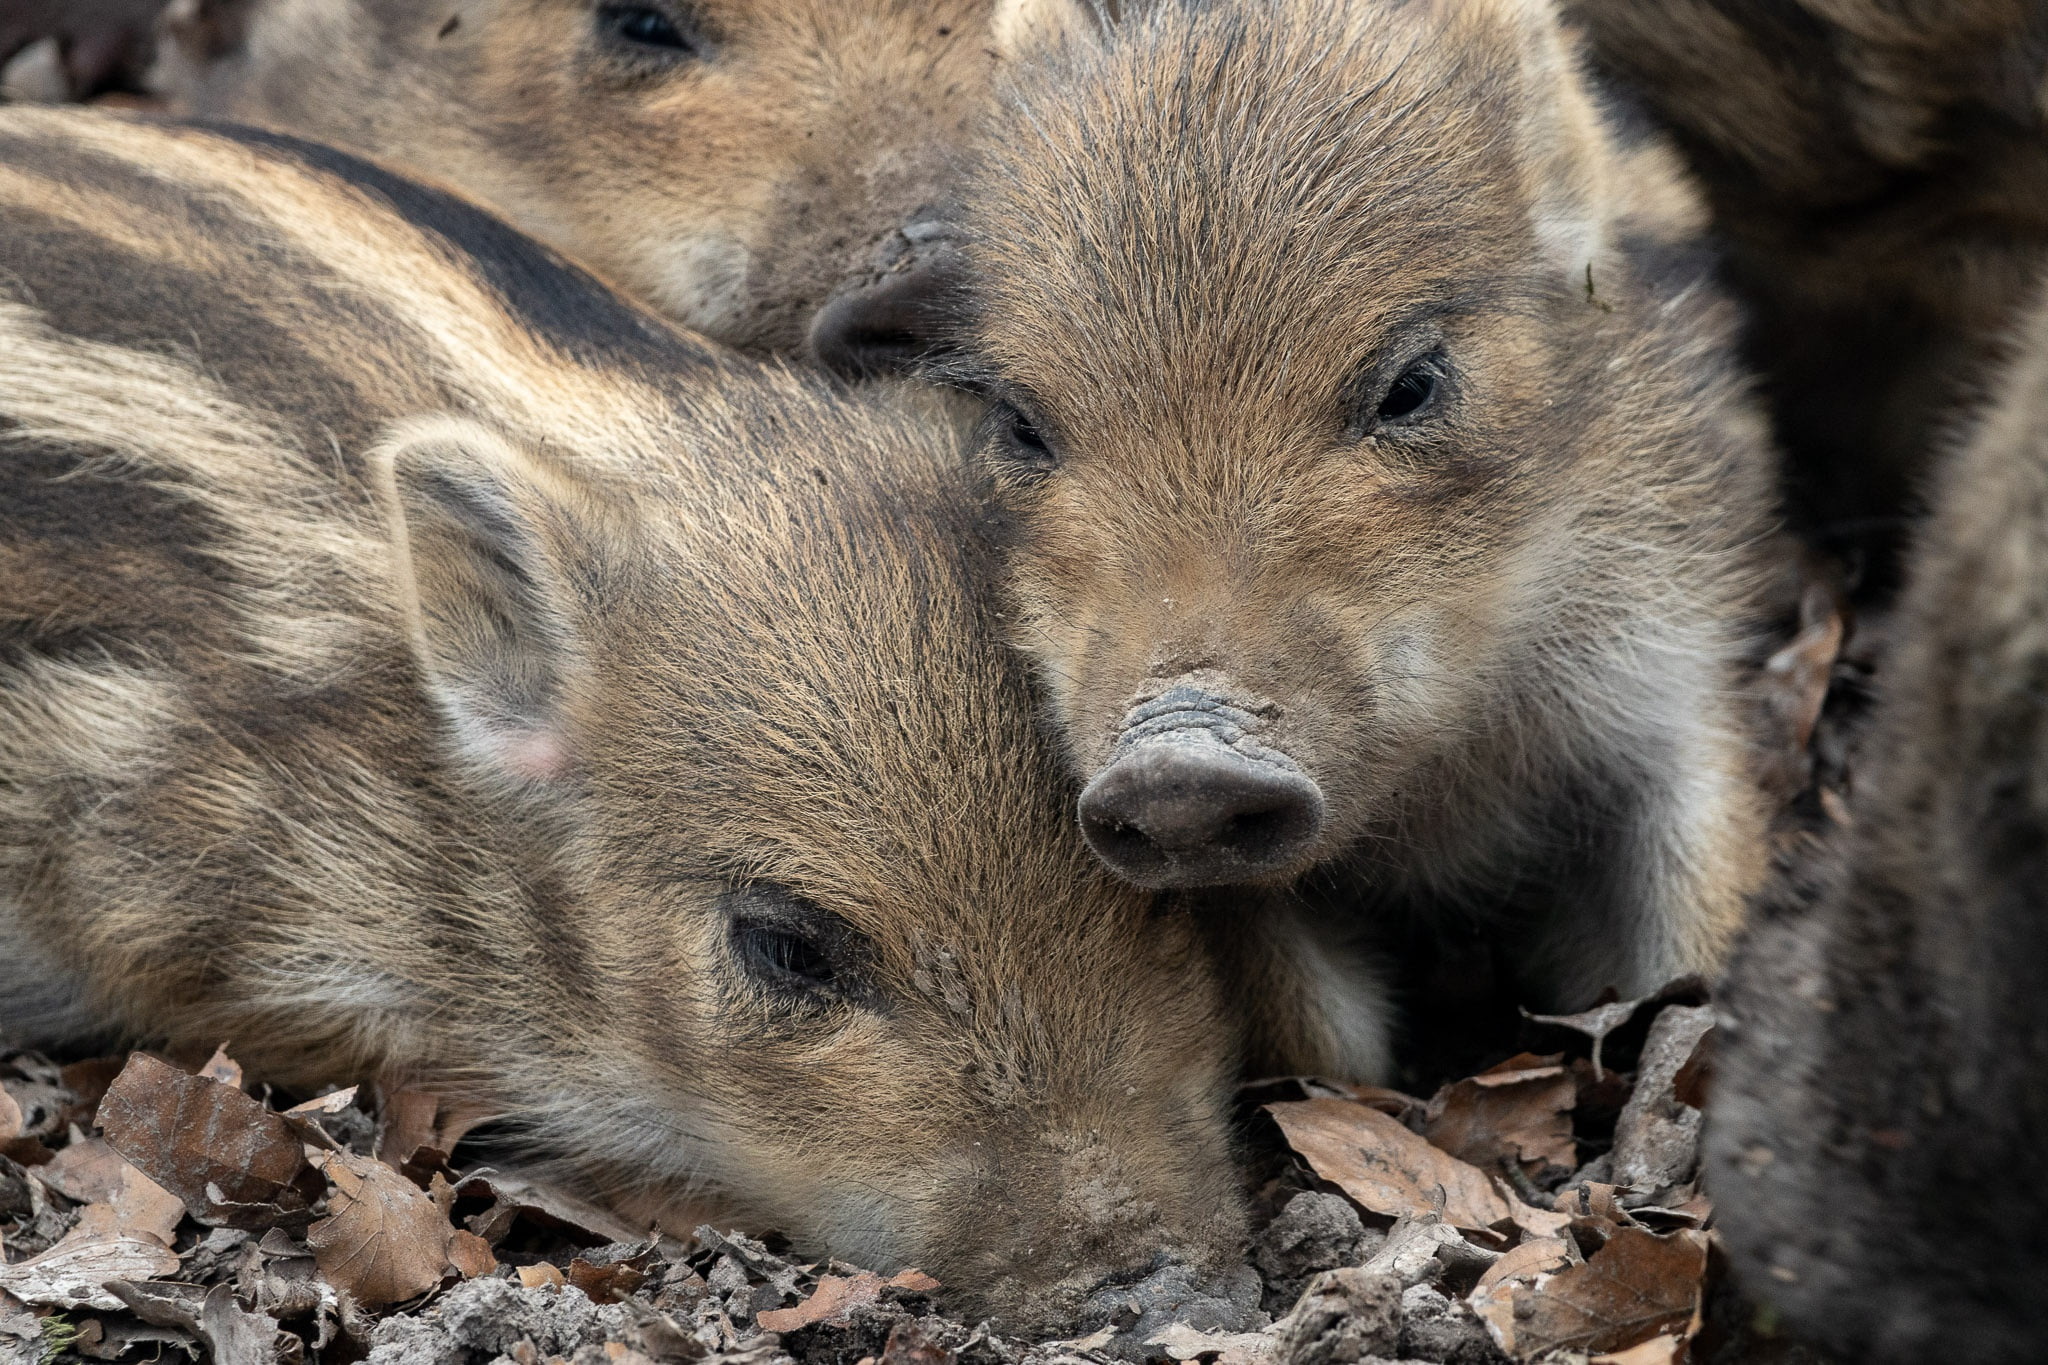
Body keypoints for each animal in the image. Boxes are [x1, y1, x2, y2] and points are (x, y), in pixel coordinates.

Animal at [951, 0, 1781, 1075]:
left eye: (1413, 384)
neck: (1441, 783)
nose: (1179, 763)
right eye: (1018, 422)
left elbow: (1695, 927)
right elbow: (1324, 1042)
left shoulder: (1670, 673)